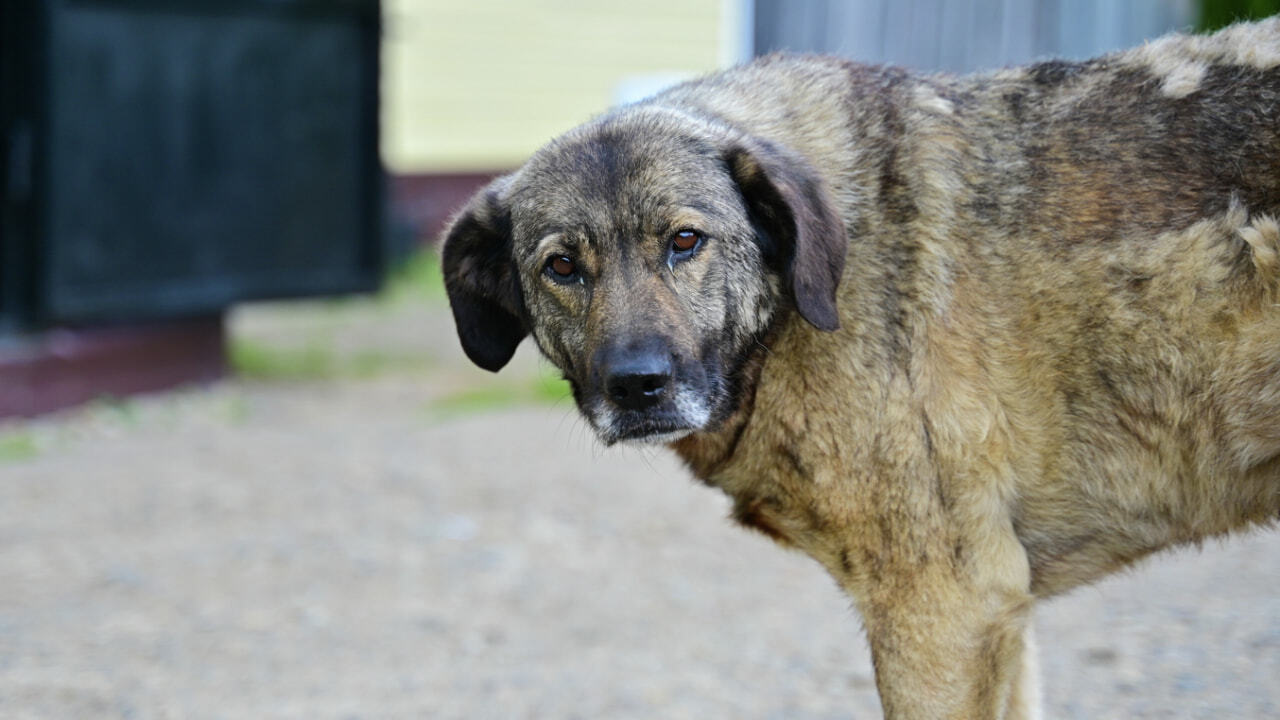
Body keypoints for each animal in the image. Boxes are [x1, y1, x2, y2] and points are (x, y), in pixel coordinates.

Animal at [440, 19, 1280, 712]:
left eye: (684, 241)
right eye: (561, 267)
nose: (636, 386)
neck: (804, 297)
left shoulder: (944, 612)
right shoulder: (1000, 614)